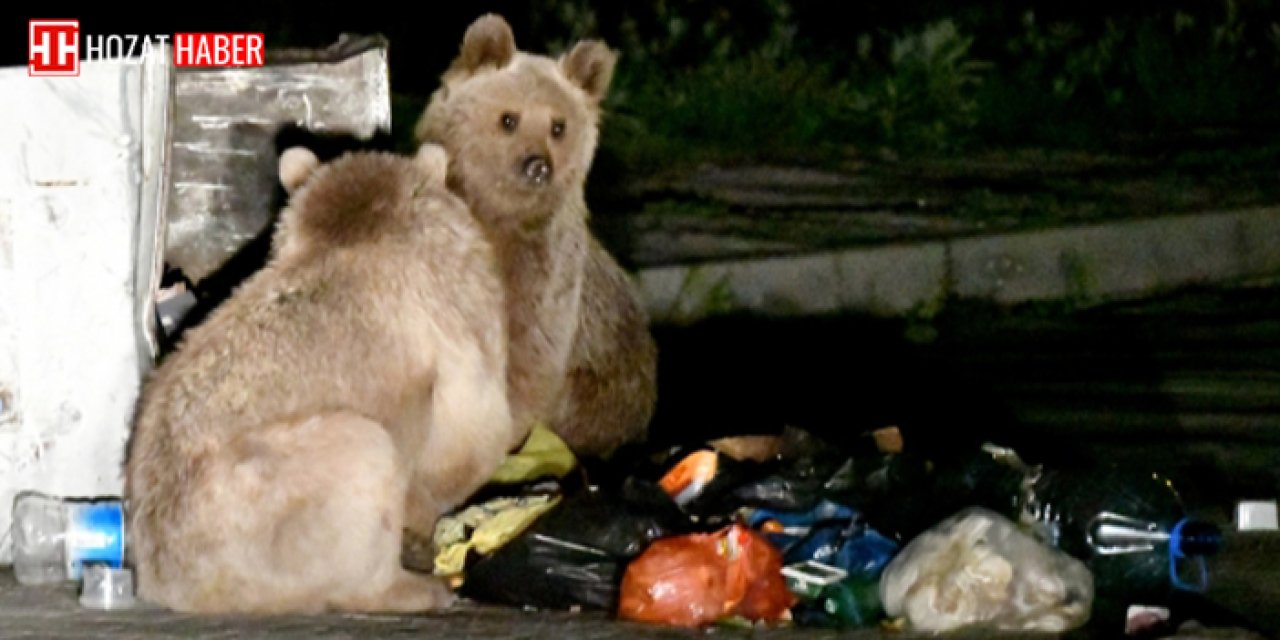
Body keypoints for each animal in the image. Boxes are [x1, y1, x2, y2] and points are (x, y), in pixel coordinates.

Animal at [123, 146, 514, 614]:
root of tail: (167, 583)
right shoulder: (454, 304)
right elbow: (470, 430)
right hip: (272, 500)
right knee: (364, 457)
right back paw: (411, 588)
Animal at [417, 12, 660, 458]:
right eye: (509, 119)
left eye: (558, 126)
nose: (537, 165)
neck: (499, 221)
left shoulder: (546, 279)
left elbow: (528, 359)